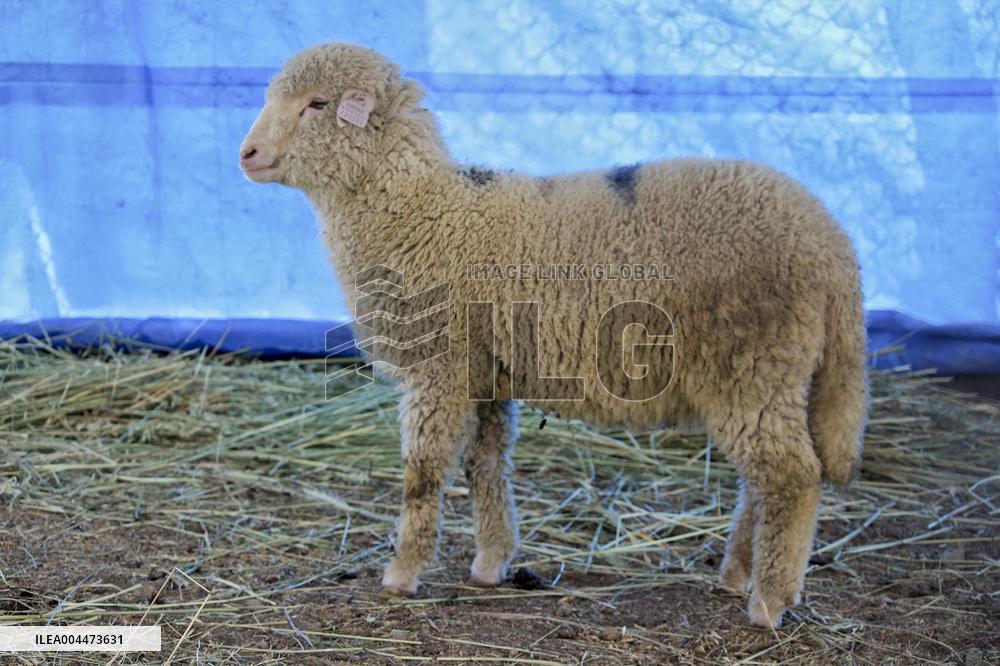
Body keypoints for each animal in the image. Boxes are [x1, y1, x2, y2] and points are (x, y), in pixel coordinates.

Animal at [239, 42, 868, 629]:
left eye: (318, 104)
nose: (245, 154)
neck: (426, 212)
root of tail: (832, 244)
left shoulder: (440, 369)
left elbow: (423, 474)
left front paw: (401, 574)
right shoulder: (486, 372)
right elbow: (486, 465)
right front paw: (491, 562)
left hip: (755, 360)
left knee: (793, 477)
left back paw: (770, 600)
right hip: (761, 374)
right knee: (760, 481)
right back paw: (737, 573)